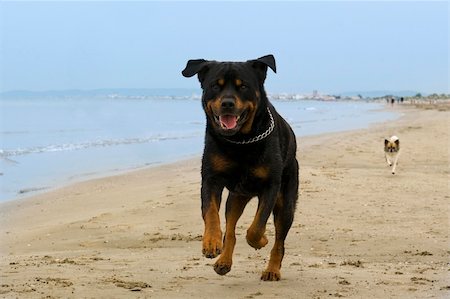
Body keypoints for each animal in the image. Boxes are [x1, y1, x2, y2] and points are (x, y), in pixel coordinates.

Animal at [181, 54, 298, 282]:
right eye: (214, 86)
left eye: (243, 86)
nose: (227, 103)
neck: (240, 141)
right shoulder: (211, 179)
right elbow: (211, 213)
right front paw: (211, 241)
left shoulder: (271, 186)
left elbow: (257, 226)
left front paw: (261, 240)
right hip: (236, 198)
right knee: (231, 229)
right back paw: (224, 262)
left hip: (286, 201)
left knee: (279, 240)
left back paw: (272, 269)